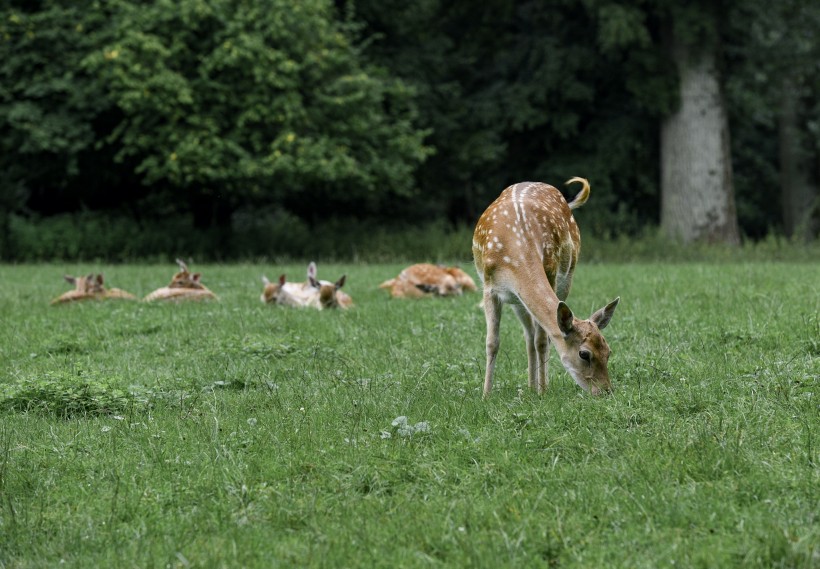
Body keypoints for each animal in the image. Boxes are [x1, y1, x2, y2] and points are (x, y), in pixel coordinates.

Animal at [474, 176, 620, 394]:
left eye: (608, 351)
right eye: (584, 354)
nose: (606, 391)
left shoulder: (550, 272)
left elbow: (542, 340)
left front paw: (543, 391)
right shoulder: (489, 286)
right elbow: (492, 342)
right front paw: (486, 394)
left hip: (565, 278)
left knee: (537, 336)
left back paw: (536, 386)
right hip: (517, 300)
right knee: (528, 335)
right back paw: (530, 386)